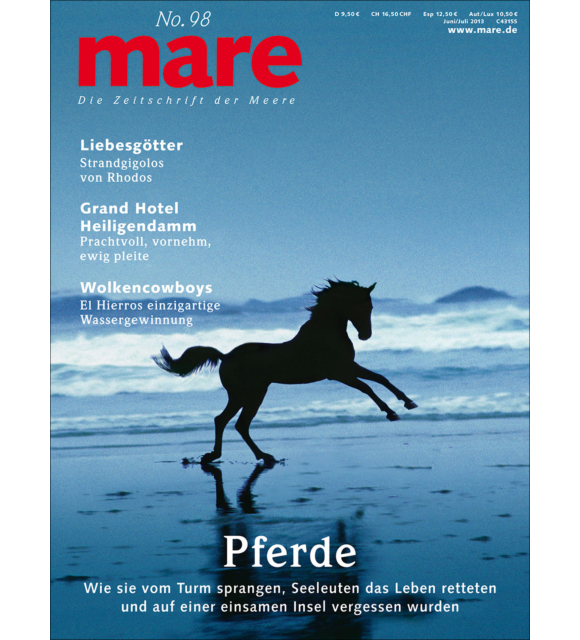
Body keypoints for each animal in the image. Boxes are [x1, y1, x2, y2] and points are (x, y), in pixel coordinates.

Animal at [153, 279, 417, 465]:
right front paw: (391, 412)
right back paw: (259, 456)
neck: (326, 333)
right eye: (362, 304)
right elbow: (367, 387)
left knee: (229, 422)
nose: (366, 335)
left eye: (370, 306)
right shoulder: (338, 373)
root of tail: (225, 356)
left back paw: (226, 456)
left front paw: (408, 403)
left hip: (248, 394)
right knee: (235, 423)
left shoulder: (348, 367)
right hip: (249, 394)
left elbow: (380, 378)